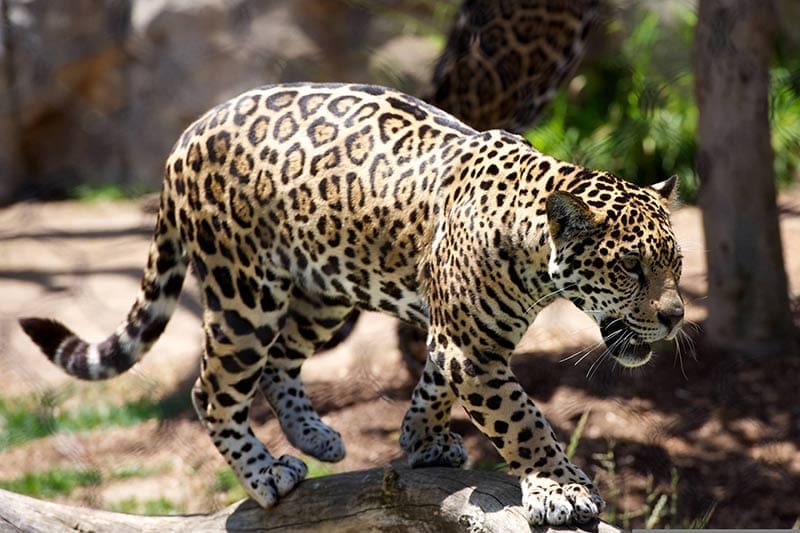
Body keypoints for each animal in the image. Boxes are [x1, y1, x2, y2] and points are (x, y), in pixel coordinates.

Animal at [20, 82, 684, 526]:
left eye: (676, 266)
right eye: (631, 267)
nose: (676, 316)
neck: (533, 245)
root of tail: (187, 136)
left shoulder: (454, 337)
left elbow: (432, 385)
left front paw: (421, 439)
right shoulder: (471, 349)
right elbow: (522, 421)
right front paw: (559, 486)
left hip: (323, 293)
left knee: (279, 362)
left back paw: (316, 438)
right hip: (245, 295)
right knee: (213, 389)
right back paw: (266, 473)